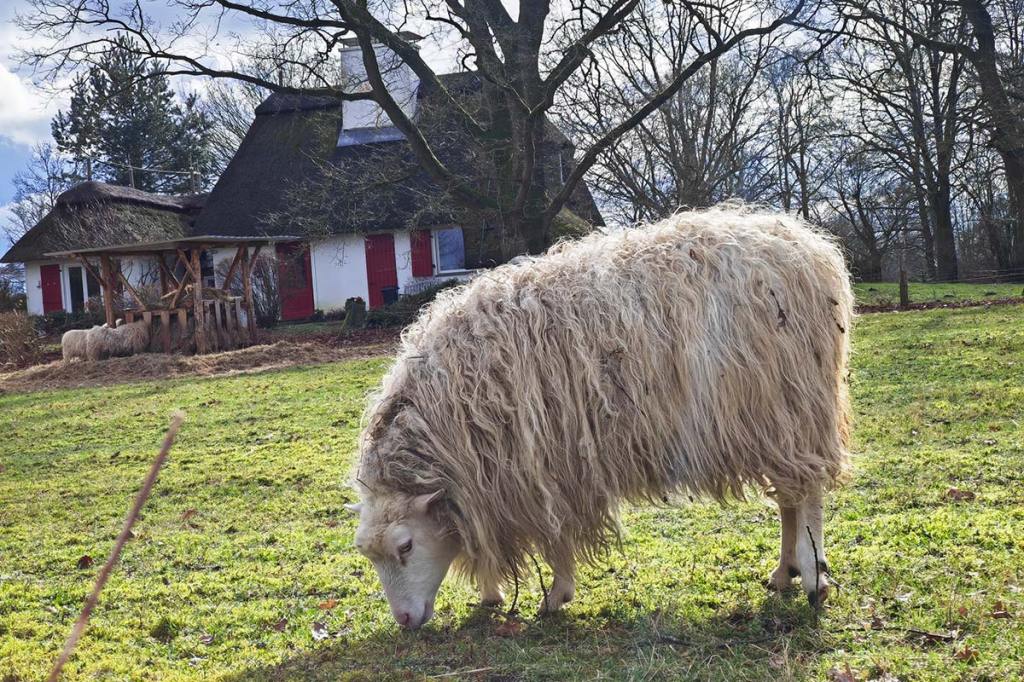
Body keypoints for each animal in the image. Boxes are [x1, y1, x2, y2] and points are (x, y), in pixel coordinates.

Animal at [348, 205, 851, 626]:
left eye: (406, 546)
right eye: (371, 557)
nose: (405, 621)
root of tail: (811, 248)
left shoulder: (540, 466)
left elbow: (553, 535)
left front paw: (556, 594)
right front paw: (495, 593)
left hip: (791, 406)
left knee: (808, 495)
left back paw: (813, 576)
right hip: (776, 421)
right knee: (789, 497)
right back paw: (783, 572)